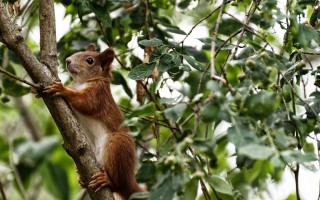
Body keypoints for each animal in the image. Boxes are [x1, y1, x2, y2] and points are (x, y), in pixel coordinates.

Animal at [43, 44, 145, 200]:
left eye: (90, 60)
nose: (67, 60)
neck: (82, 82)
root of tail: (130, 179)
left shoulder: (98, 94)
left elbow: (85, 102)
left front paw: (62, 89)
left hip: (117, 146)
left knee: (119, 184)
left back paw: (108, 181)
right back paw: (82, 179)